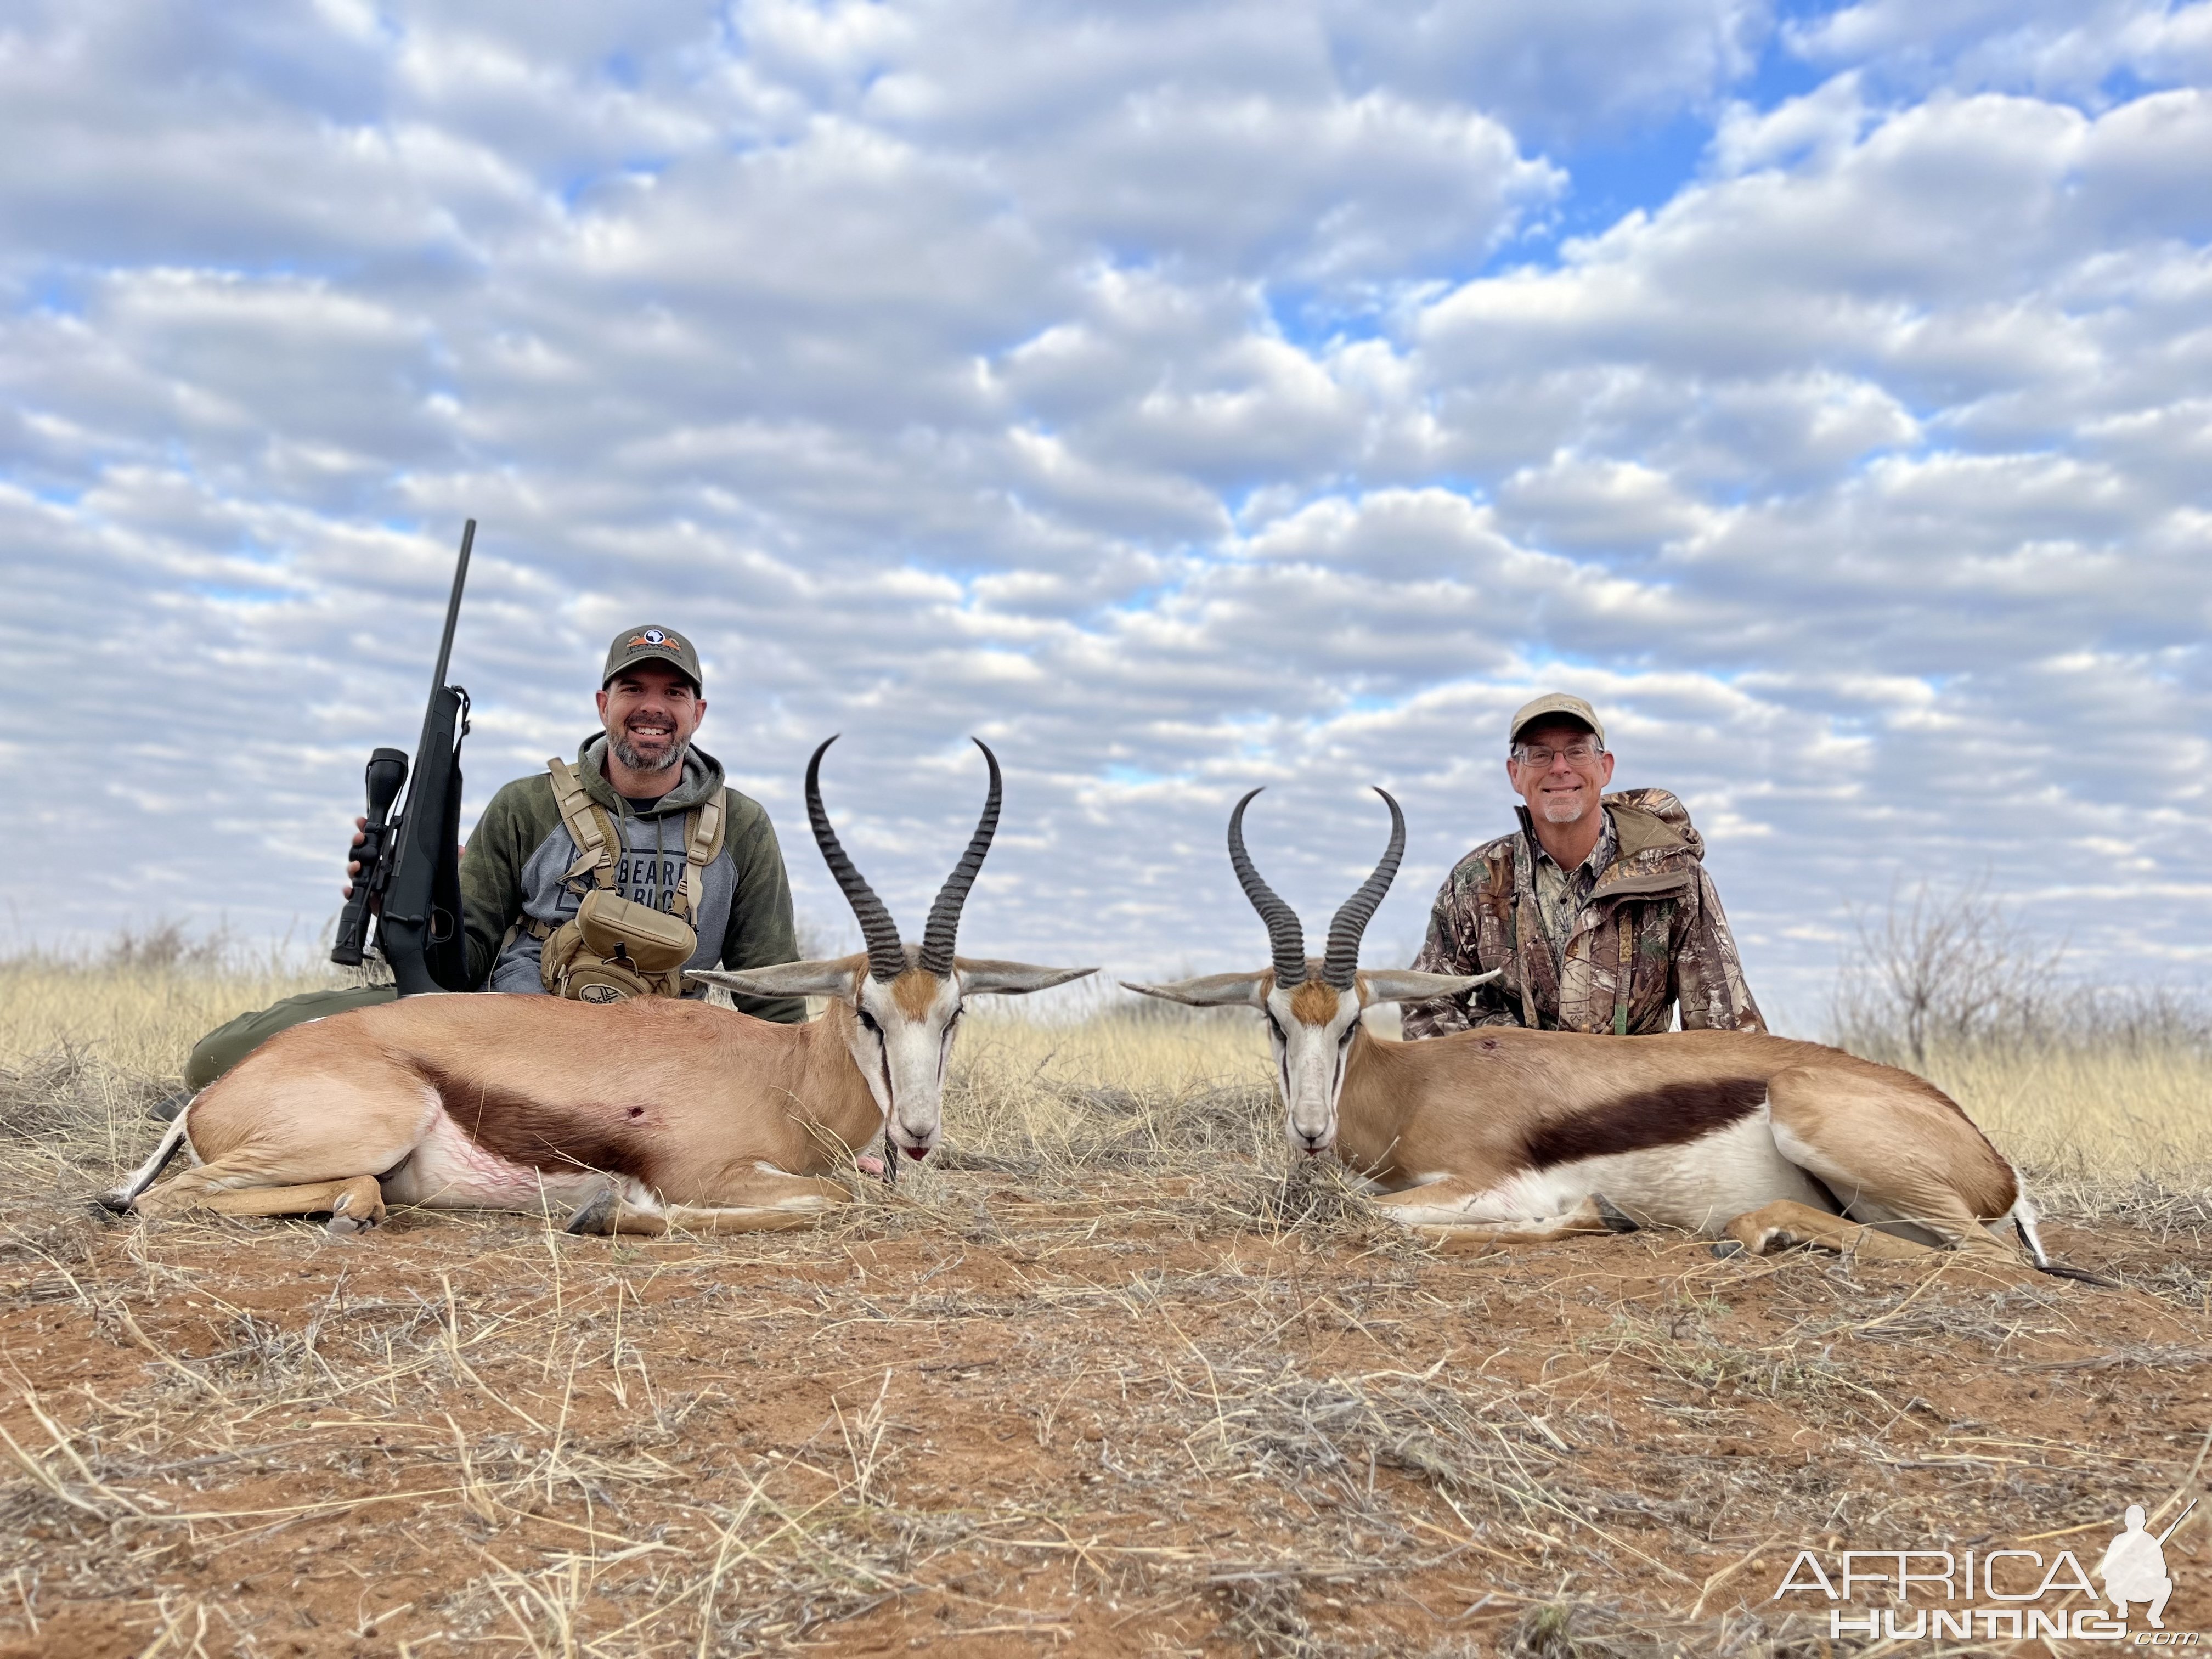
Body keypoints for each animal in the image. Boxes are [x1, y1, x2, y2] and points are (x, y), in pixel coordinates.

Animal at [108, 738, 1092, 1238]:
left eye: (954, 1013)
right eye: (868, 1013)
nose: (918, 1134)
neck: (787, 1077)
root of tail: (213, 1097)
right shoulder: (712, 1172)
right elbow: (826, 1198)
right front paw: (607, 1208)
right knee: (150, 1199)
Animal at [1132, 792, 2061, 1274]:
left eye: (1354, 1022)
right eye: (1274, 1020)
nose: (1311, 1133)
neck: (1415, 1091)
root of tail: (1995, 1165)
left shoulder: (1490, 1184)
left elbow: (1378, 1218)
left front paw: (1592, 1216)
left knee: (1994, 1264)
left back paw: (1756, 1230)